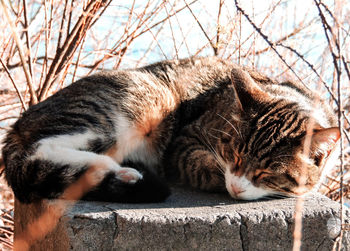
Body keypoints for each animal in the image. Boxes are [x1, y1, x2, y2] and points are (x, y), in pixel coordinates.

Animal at [0, 56, 340, 203]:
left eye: (266, 172)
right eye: (233, 153)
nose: (236, 188)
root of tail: (16, 125)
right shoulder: (184, 140)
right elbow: (201, 163)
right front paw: (222, 178)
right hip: (145, 97)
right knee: (41, 150)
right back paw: (121, 171)